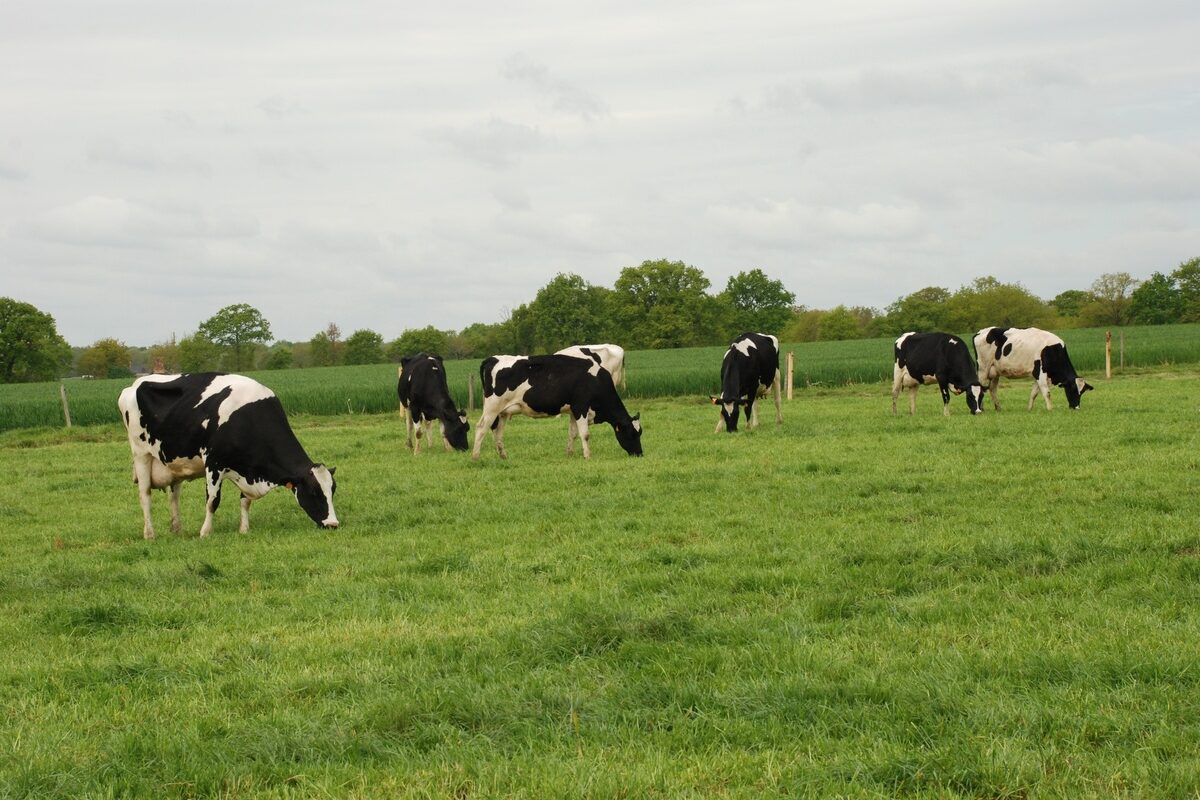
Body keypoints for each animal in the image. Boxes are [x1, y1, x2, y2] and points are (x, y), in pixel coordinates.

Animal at [118, 373, 338, 539]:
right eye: (313, 492)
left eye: (332, 490)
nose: (333, 524)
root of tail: (134, 385)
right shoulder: (213, 463)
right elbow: (212, 501)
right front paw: (205, 532)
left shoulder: (248, 468)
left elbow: (245, 501)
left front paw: (244, 529)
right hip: (141, 454)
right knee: (145, 495)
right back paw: (149, 534)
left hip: (173, 462)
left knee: (174, 496)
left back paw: (177, 529)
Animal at [471, 354, 642, 460]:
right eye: (632, 434)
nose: (640, 453)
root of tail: (494, 358)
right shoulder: (581, 407)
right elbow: (585, 434)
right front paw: (587, 455)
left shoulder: (574, 410)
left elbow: (572, 434)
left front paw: (569, 454)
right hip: (492, 407)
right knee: (481, 428)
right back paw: (475, 457)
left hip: (503, 412)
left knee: (498, 432)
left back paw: (503, 456)